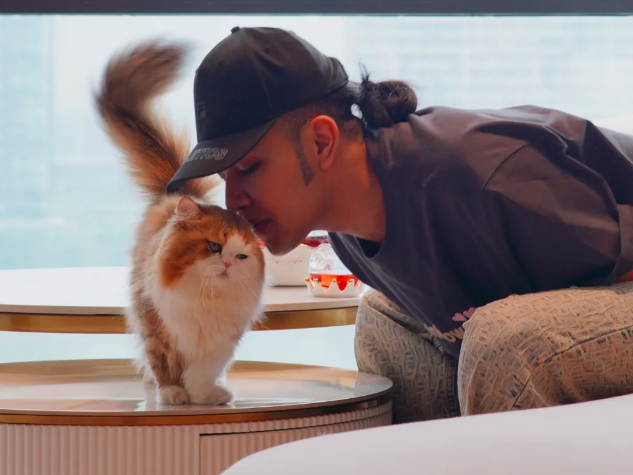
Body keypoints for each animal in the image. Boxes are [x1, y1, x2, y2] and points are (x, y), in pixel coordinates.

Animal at [95, 40, 265, 406]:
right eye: (214, 247)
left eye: (241, 256)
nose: (227, 264)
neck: (205, 299)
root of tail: (177, 192)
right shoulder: (156, 326)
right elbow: (163, 364)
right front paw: (173, 393)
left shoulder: (219, 343)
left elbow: (203, 372)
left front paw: (207, 395)